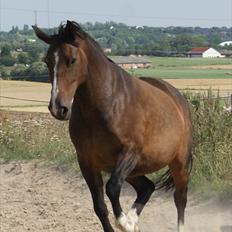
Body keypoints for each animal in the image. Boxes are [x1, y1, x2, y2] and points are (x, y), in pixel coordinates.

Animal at [32, 20, 192, 231]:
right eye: (47, 61)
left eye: (72, 60)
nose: (58, 108)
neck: (109, 103)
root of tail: (177, 97)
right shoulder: (87, 162)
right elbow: (100, 207)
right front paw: (127, 222)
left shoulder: (129, 153)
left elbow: (112, 188)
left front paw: (124, 222)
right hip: (135, 169)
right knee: (147, 187)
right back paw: (134, 220)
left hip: (178, 162)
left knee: (180, 199)